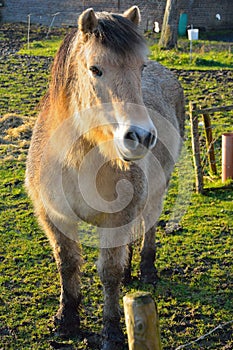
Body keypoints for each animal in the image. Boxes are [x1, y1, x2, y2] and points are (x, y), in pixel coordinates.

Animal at [25, 6, 185, 350]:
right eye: (95, 69)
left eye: (140, 67)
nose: (141, 136)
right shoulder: (55, 216)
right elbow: (67, 263)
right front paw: (67, 320)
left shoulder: (116, 219)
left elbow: (108, 273)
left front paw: (112, 331)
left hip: (157, 192)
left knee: (148, 226)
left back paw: (147, 269)